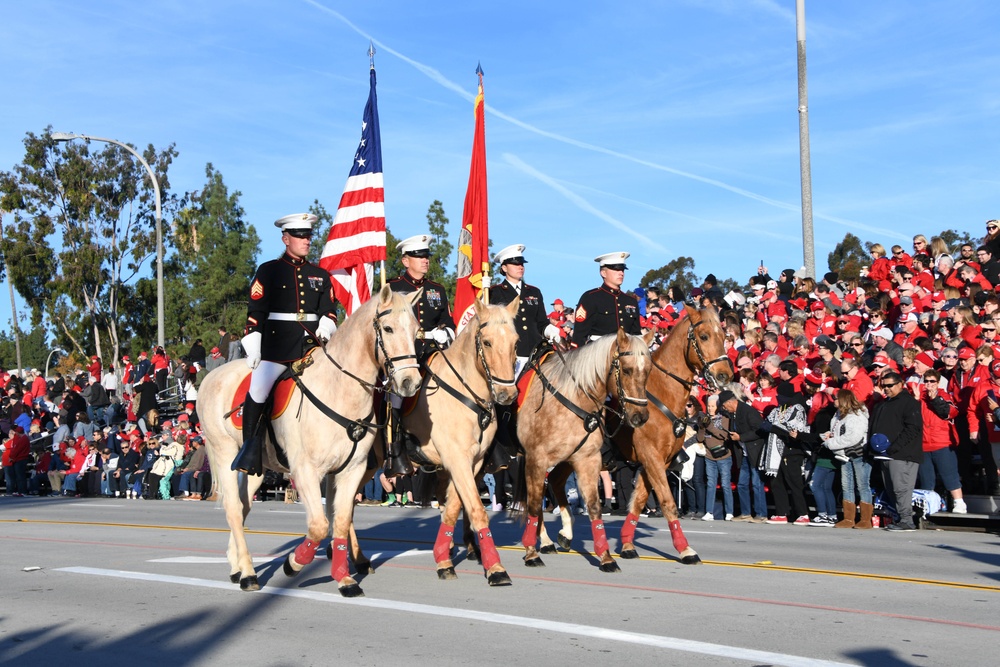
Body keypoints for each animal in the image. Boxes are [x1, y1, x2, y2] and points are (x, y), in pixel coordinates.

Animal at [201, 284, 420, 596]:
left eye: (416, 331)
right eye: (388, 328)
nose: (410, 383)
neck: (340, 389)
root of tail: (211, 376)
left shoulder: (351, 469)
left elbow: (339, 521)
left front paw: (344, 577)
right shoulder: (305, 470)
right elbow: (318, 524)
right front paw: (294, 563)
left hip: (256, 467)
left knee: (243, 507)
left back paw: (237, 566)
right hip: (224, 454)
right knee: (233, 509)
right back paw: (248, 574)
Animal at [402, 296, 520, 584]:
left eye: (516, 342)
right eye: (486, 342)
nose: (507, 395)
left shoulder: (472, 462)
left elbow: (455, 507)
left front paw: (443, 558)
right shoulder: (456, 459)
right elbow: (476, 509)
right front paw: (495, 567)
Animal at [516, 328, 656, 568]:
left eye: (647, 371)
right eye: (627, 370)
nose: (640, 417)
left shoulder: (586, 459)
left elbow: (593, 505)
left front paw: (606, 557)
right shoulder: (536, 459)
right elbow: (534, 505)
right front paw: (531, 553)